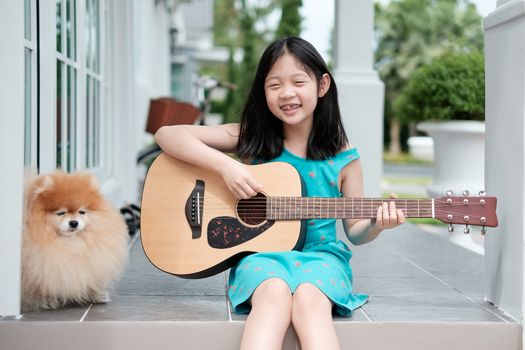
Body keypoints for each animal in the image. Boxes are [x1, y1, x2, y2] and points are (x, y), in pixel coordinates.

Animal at [21, 171, 130, 310]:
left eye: (81, 212)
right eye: (61, 213)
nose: (74, 222)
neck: (70, 243)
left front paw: (96, 294)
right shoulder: (38, 268)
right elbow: (42, 286)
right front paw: (48, 300)